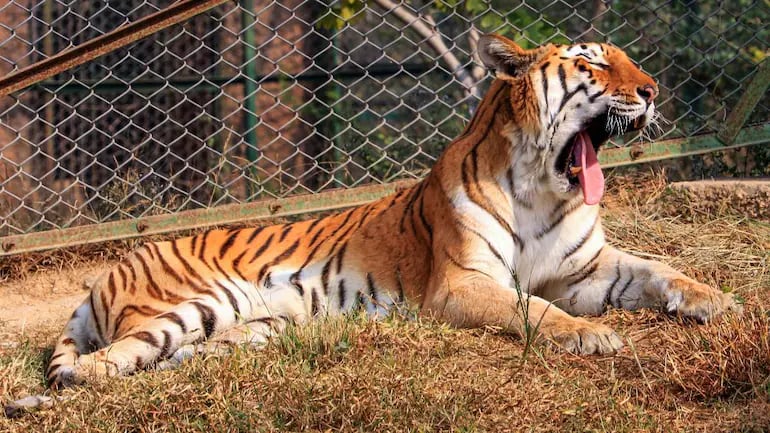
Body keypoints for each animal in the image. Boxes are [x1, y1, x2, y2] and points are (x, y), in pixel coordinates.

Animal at [7, 33, 738, 415]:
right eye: (592, 63)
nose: (651, 91)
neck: (545, 187)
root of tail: (105, 274)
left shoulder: (586, 268)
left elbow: (659, 269)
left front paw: (719, 300)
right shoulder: (462, 284)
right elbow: (532, 309)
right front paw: (592, 336)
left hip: (258, 323)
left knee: (177, 358)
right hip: (185, 304)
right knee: (96, 367)